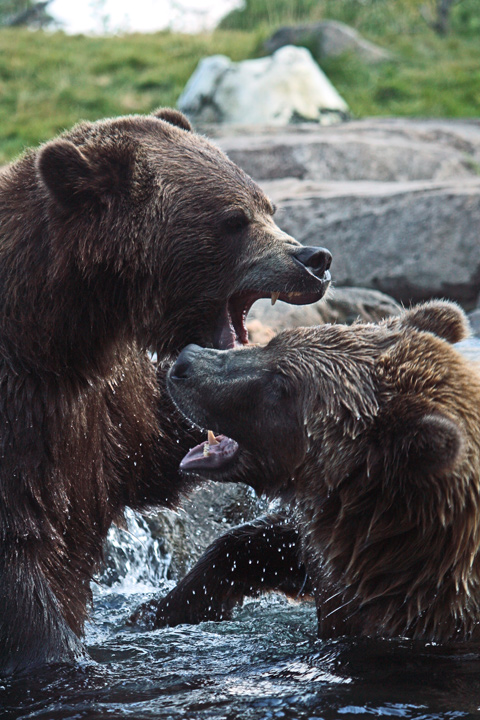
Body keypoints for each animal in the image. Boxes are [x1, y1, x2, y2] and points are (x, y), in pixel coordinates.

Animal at [0, 108, 332, 674]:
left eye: (267, 205)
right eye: (233, 220)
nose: (315, 259)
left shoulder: (107, 403)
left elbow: (155, 455)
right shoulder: (21, 406)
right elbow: (22, 555)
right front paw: (61, 656)